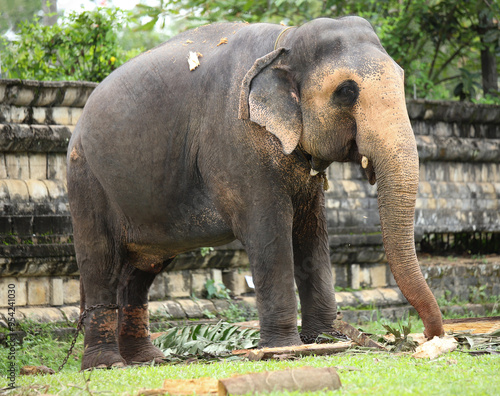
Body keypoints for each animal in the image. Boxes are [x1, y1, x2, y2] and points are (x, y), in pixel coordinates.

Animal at [67, 14, 446, 368]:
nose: (429, 338)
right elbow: (269, 232)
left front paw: (327, 340)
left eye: (401, 77)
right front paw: (286, 349)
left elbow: (313, 235)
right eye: (346, 91)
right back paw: (107, 364)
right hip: (85, 179)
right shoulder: (236, 142)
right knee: (100, 260)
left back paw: (149, 359)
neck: (285, 41)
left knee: (141, 270)